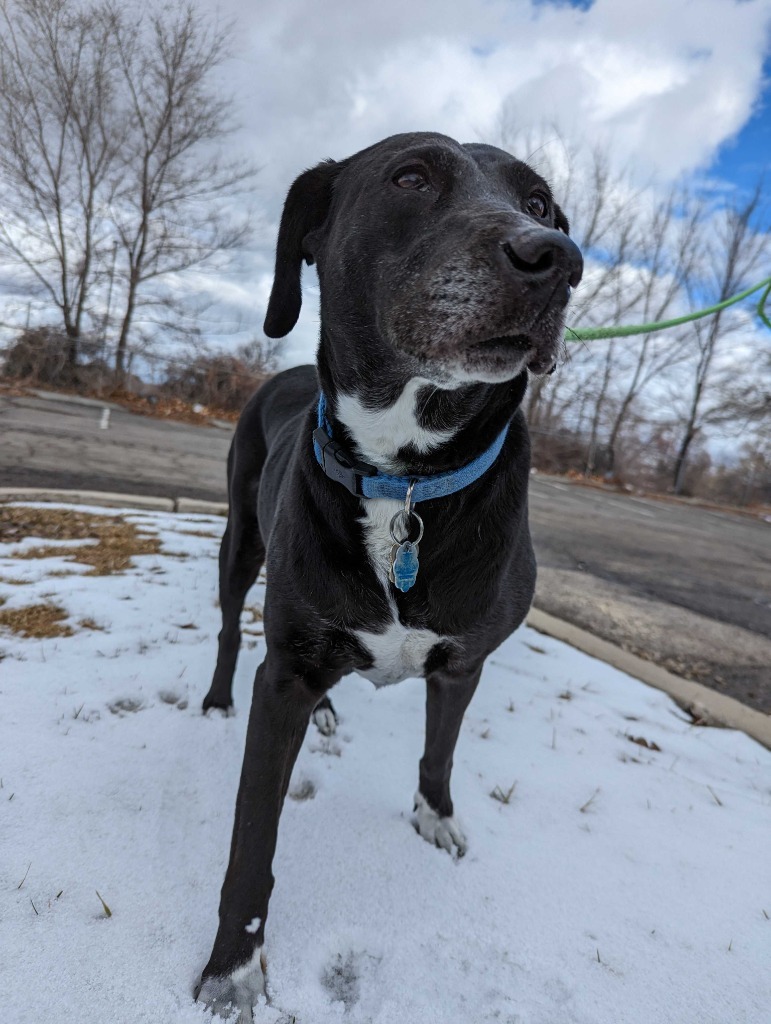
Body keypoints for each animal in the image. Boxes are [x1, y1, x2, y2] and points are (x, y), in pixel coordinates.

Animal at [195, 130, 581, 1015]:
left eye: (540, 203)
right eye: (410, 177)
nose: (555, 258)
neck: (404, 473)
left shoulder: (464, 662)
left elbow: (439, 750)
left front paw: (434, 819)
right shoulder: (285, 675)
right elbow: (250, 840)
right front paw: (233, 969)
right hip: (241, 543)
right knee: (232, 628)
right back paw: (219, 697)